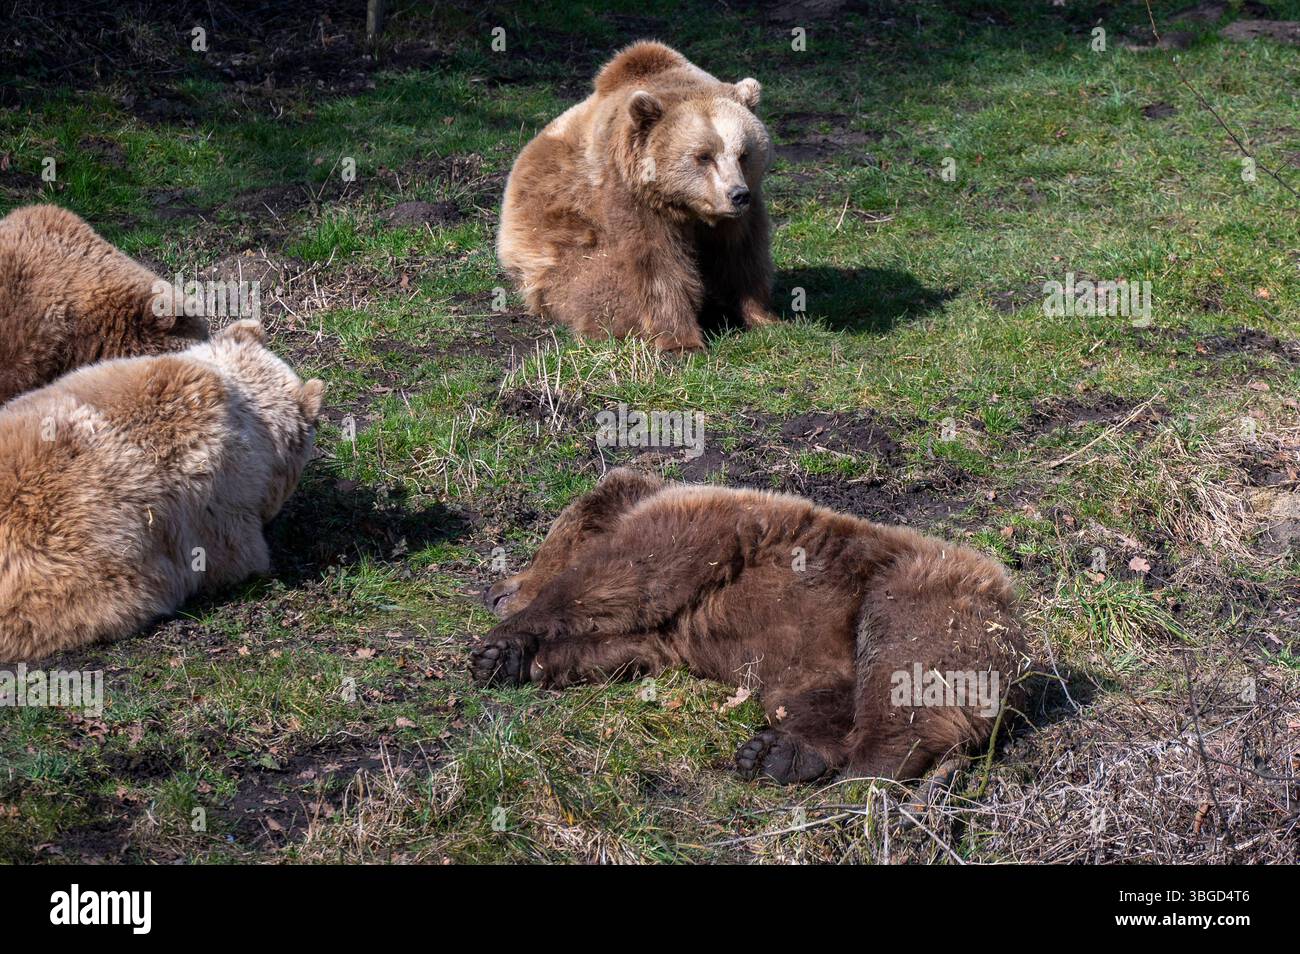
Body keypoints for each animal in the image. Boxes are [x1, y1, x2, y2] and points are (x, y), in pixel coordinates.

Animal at [472, 469, 1031, 785]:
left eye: (545, 542)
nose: (494, 589)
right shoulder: (667, 633)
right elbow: (617, 647)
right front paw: (514, 659)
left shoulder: (691, 527)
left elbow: (617, 576)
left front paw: (496, 644)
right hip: (818, 667)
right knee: (820, 702)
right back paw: (778, 754)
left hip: (917, 594)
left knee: (897, 673)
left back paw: (859, 776)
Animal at [497, 41, 778, 353]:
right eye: (704, 156)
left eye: (744, 154)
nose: (737, 195)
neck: (688, 209)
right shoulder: (633, 198)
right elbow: (656, 266)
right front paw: (681, 341)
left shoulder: (740, 216)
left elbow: (741, 254)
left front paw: (764, 317)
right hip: (552, 243)